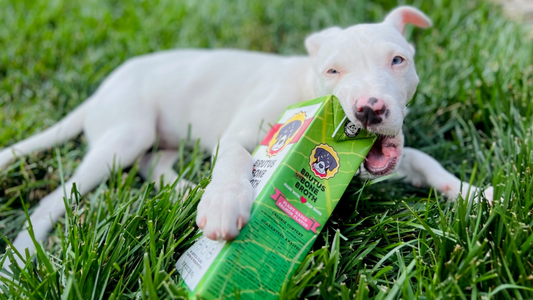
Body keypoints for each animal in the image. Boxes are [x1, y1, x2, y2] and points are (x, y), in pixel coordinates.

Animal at [0, 5, 490, 268]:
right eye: (332, 71)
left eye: (398, 60)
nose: (369, 109)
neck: (306, 86)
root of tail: (99, 92)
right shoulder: (242, 132)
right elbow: (237, 157)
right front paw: (225, 205)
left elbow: (425, 160)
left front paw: (475, 193)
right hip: (126, 133)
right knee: (57, 197)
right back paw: (20, 255)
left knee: (155, 163)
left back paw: (188, 191)